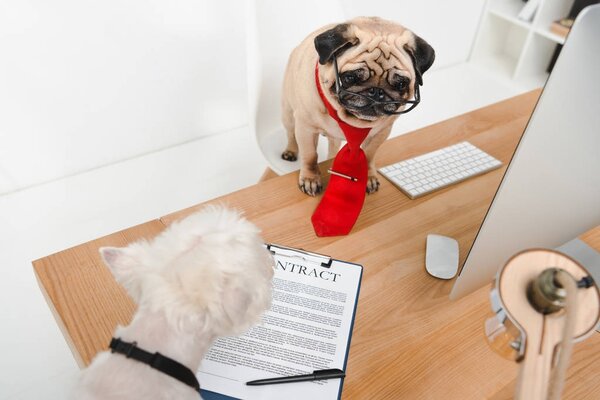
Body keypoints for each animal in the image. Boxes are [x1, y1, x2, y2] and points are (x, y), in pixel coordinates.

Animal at [278, 17, 434, 195]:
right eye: (350, 77)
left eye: (401, 84)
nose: (376, 91)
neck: (350, 119)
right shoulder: (306, 129)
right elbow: (310, 156)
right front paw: (310, 179)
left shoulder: (381, 133)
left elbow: (369, 155)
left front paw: (369, 176)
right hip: (288, 114)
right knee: (291, 133)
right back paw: (290, 151)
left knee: (333, 145)